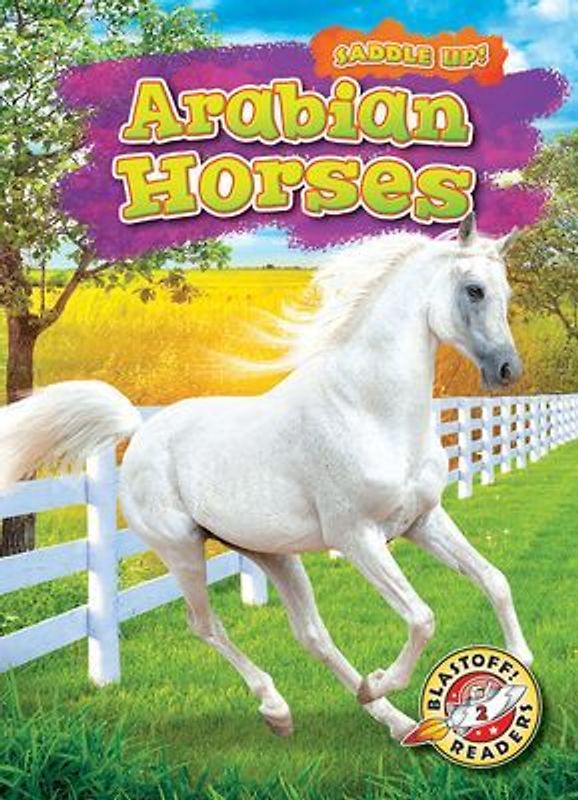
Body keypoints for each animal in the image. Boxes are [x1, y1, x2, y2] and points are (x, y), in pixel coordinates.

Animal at [0, 212, 533, 741]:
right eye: (474, 290)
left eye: (505, 291)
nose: (508, 369)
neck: (369, 410)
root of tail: (140, 429)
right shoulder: (358, 536)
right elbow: (423, 618)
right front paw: (383, 679)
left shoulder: (423, 520)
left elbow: (495, 580)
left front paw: (521, 662)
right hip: (182, 550)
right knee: (207, 625)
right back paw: (283, 708)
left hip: (270, 552)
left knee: (312, 635)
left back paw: (389, 720)